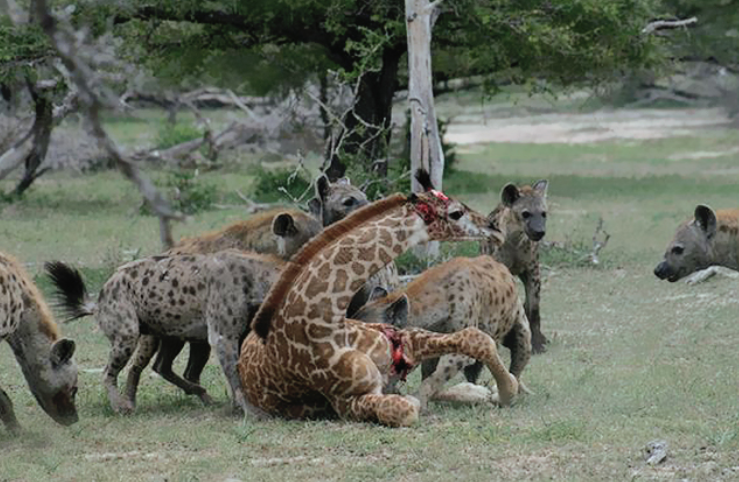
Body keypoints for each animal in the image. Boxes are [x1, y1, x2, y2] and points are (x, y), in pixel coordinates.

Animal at [237, 171, 520, 428]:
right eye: (456, 213)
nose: (494, 228)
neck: (322, 321)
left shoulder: (404, 338)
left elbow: (476, 338)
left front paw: (506, 391)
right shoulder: (347, 402)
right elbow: (407, 407)